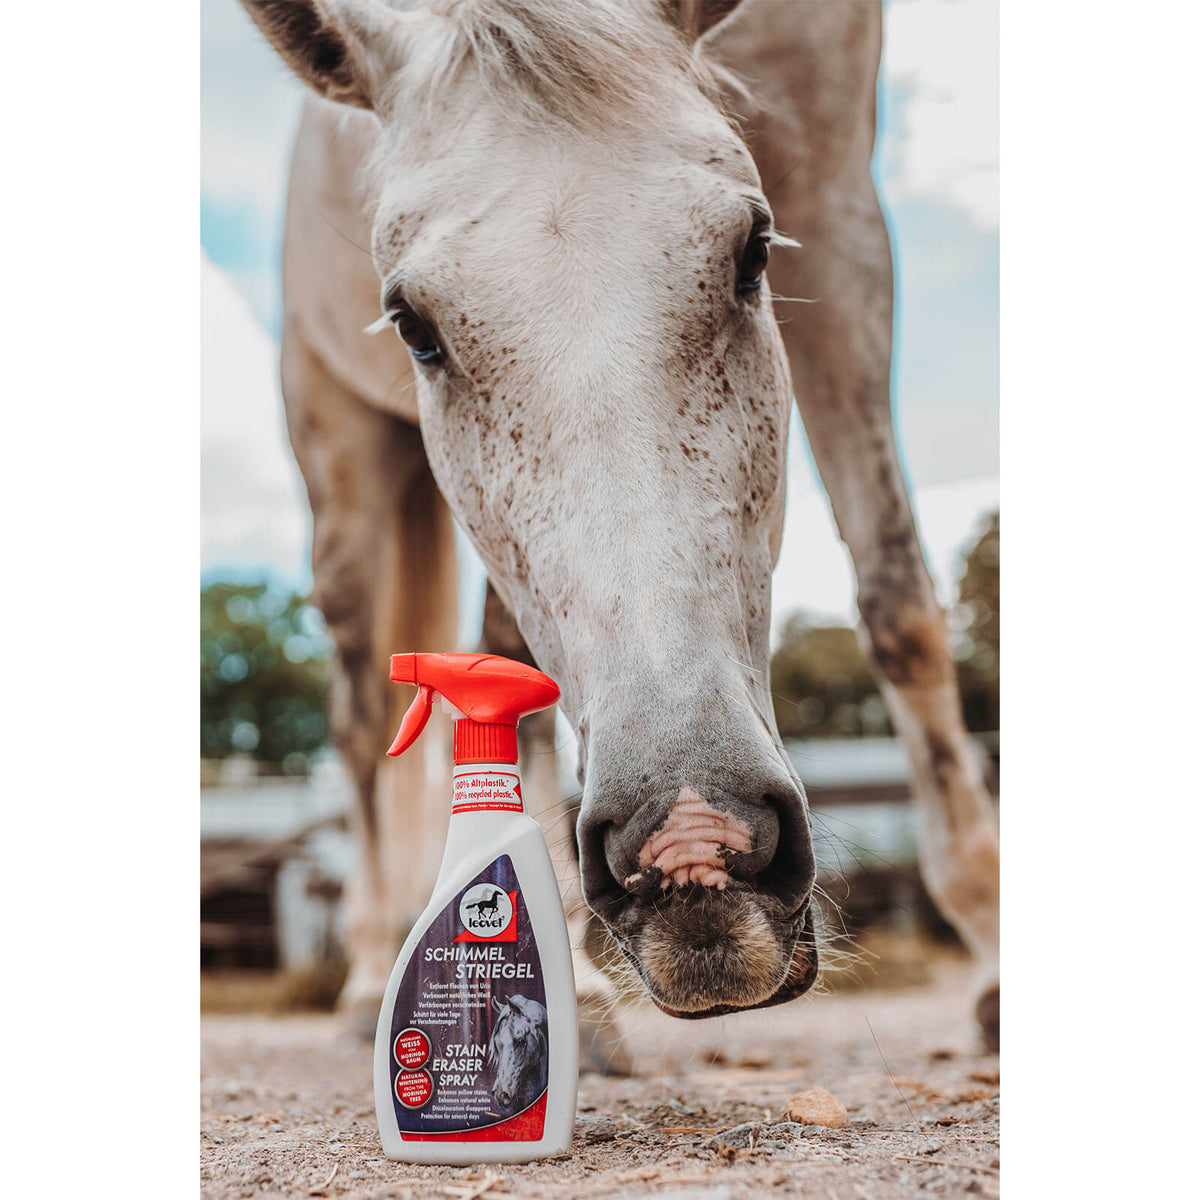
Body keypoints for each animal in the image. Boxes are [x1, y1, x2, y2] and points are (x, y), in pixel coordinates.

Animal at [237, 0, 1001, 1055]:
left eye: (754, 252)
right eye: (413, 326)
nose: (693, 844)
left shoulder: (842, 211)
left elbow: (901, 605)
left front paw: (995, 947)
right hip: (339, 454)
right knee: (356, 722)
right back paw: (367, 977)